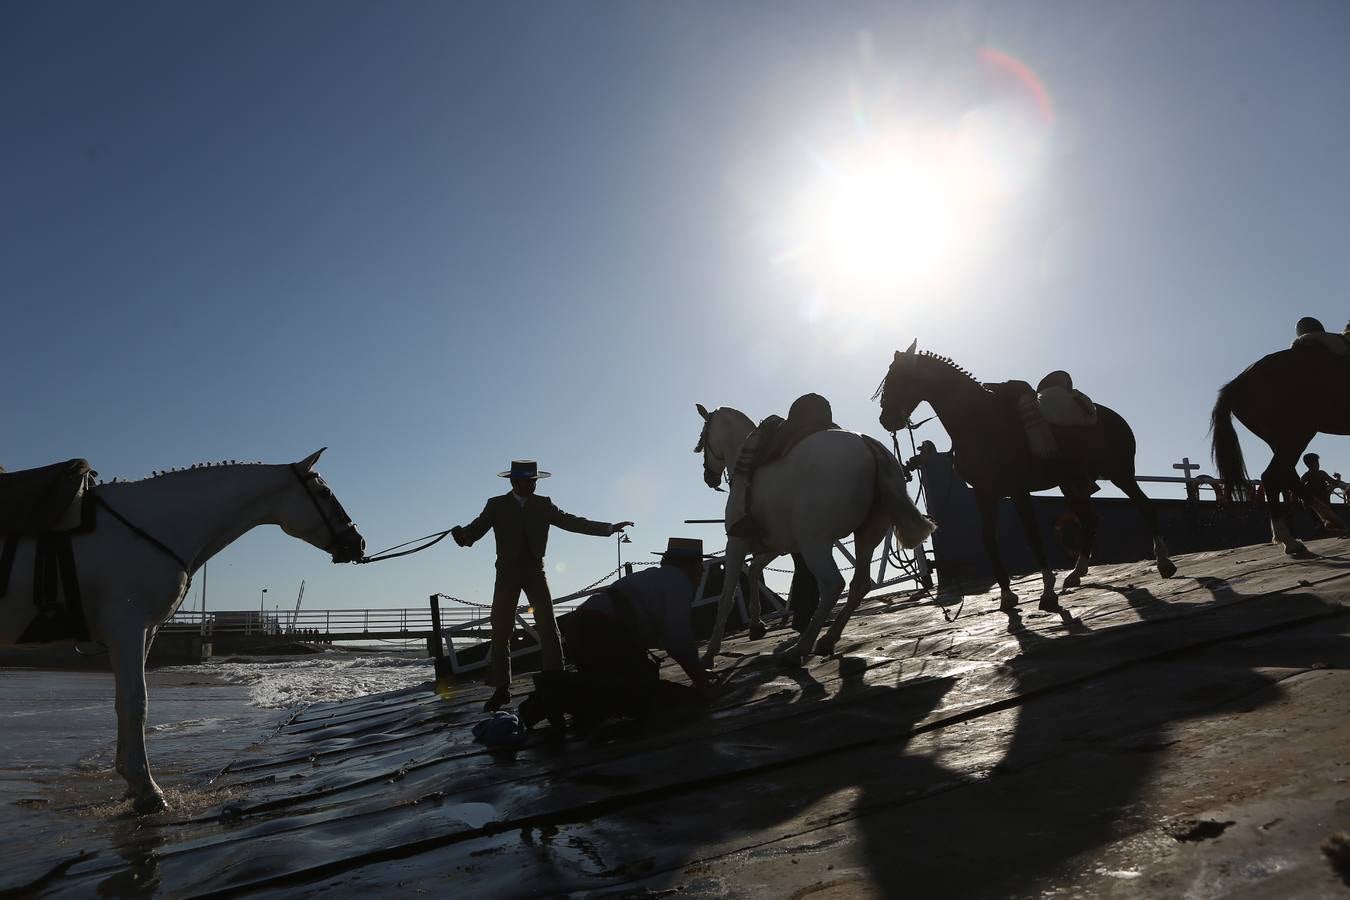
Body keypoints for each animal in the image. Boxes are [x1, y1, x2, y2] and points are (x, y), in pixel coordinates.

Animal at [0, 450, 364, 814]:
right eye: (324, 494)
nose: (357, 542)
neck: (156, 523)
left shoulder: (144, 631)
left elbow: (127, 703)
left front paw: (132, 782)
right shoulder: (127, 626)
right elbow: (136, 702)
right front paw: (148, 791)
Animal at [696, 404, 928, 666]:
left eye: (703, 437)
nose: (708, 477)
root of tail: (867, 443)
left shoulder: (736, 542)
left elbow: (726, 597)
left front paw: (710, 652)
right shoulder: (776, 546)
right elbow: (754, 571)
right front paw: (756, 625)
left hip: (815, 543)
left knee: (832, 584)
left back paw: (799, 648)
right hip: (866, 535)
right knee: (859, 584)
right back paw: (827, 638)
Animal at [874, 342, 1171, 612]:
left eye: (899, 379)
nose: (885, 420)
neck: (979, 421)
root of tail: (1108, 414)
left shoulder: (1017, 489)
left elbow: (1032, 534)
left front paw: (1048, 592)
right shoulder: (985, 492)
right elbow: (988, 539)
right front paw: (1007, 595)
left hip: (1119, 473)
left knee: (1144, 505)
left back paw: (1164, 563)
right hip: (1071, 483)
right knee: (1089, 520)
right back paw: (1076, 574)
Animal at [1209, 348, 1344, 553]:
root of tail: (1237, 383)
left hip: (1281, 439)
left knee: (1287, 475)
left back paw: (1329, 520)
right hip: (1295, 433)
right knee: (1272, 476)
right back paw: (1288, 539)